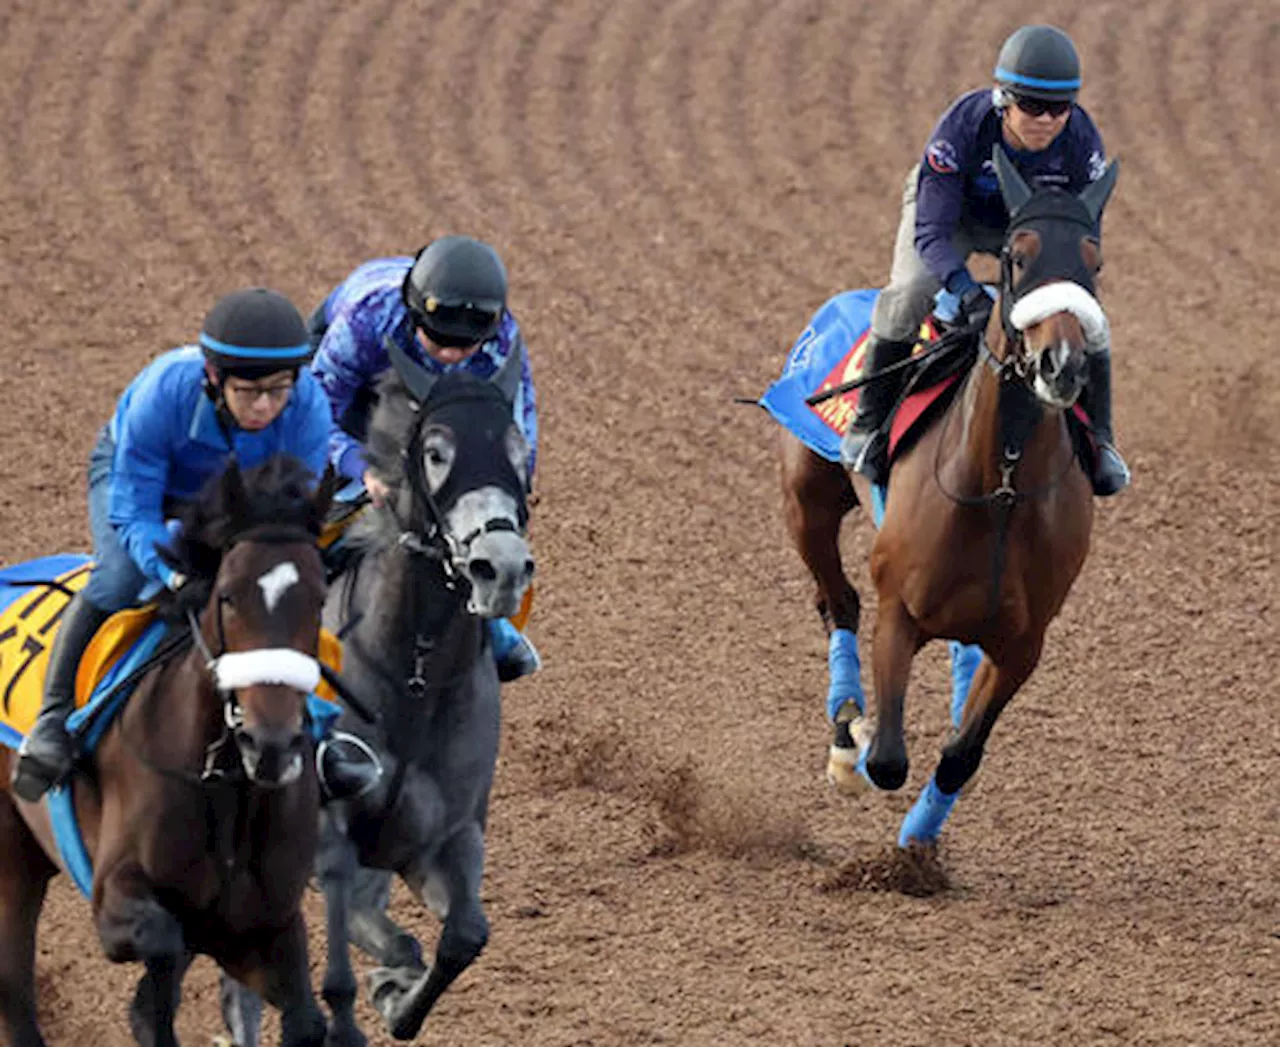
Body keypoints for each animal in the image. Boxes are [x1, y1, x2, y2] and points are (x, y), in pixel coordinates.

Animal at [0, 455, 343, 1044]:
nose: (270, 744)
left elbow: (305, 1020)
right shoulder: (116, 899)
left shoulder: (263, 925)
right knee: (15, 996)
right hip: (10, 861)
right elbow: (161, 953)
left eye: (319, 600)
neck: (225, 782)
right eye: (228, 595)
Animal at [222, 337, 532, 1039]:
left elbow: (463, 935)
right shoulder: (328, 831)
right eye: (437, 451)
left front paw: (396, 994)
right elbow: (371, 933)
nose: (500, 568)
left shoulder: (447, 836)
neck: (413, 679)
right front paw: (380, 984)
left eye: (518, 447)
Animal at [773, 147, 1116, 849]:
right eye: (1017, 256)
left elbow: (961, 755)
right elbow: (889, 759)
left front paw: (916, 846)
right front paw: (864, 743)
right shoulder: (899, 612)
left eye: (1094, 261)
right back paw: (845, 732)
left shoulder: (1024, 643)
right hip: (807, 502)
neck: (1002, 484)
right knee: (837, 603)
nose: (1062, 364)